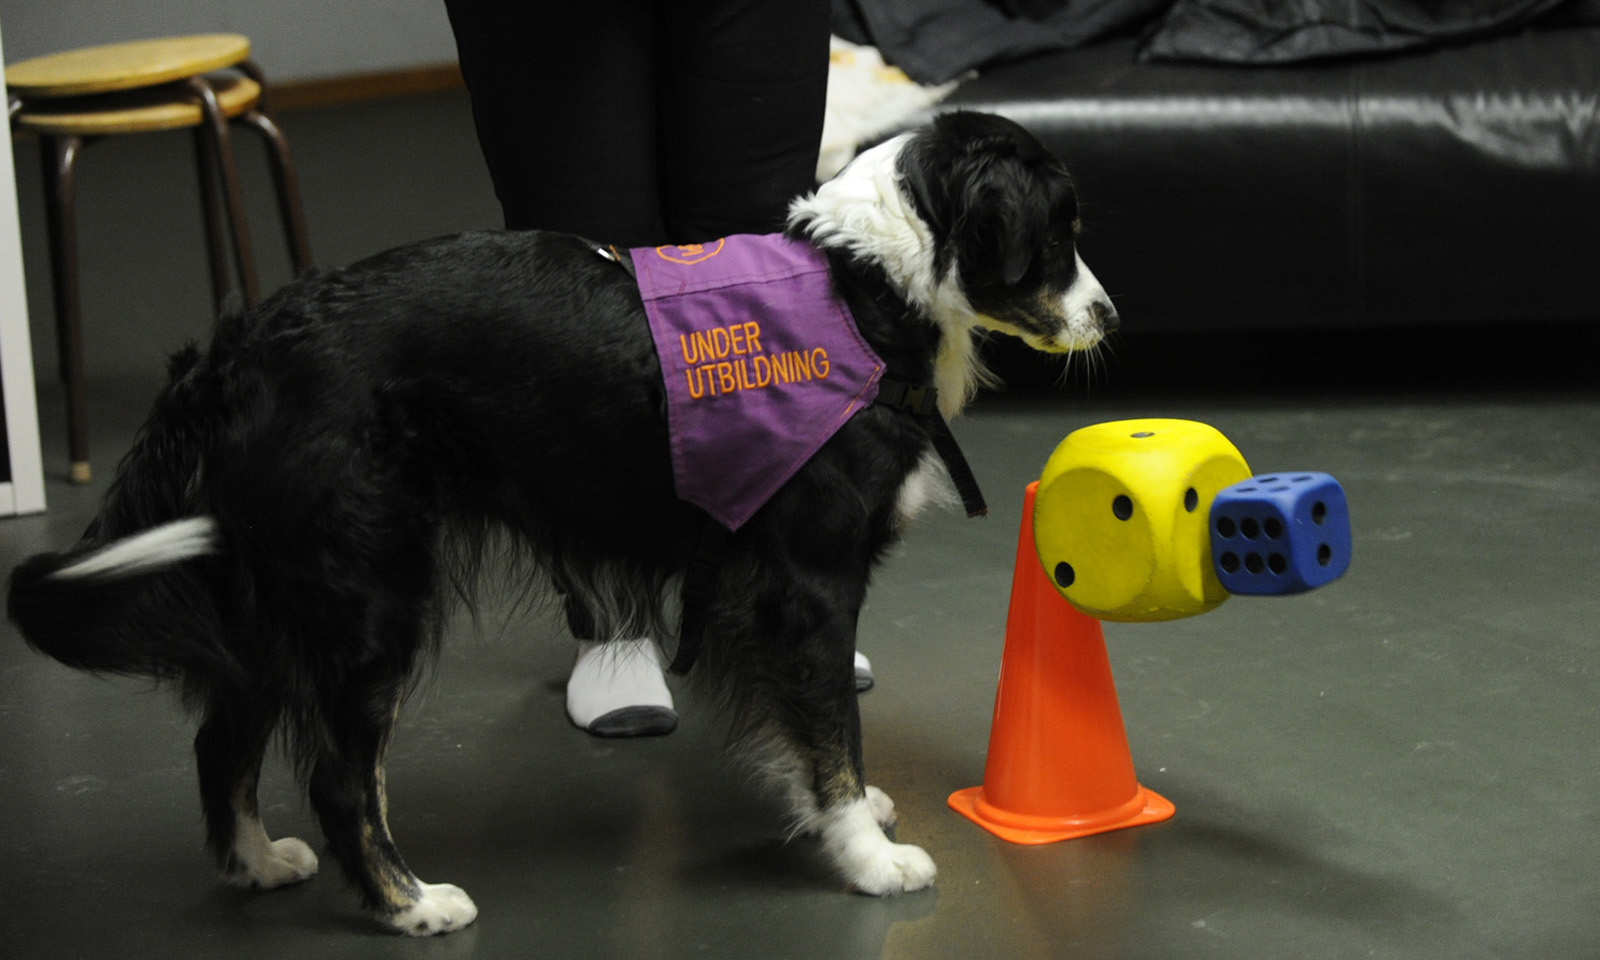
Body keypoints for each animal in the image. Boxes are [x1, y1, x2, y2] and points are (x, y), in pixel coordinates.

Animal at [7, 111, 1117, 935]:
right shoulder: (806, 582)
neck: (865, 285)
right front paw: (868, 857)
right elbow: (830, 725)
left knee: (224, 737)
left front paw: (837, 818)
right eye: (1058, 233)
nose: (1108, 315)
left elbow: (812, 725)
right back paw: (409, 905)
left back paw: (255, 861)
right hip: (370, 596)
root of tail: (235, 347)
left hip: (280, 594)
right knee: (338, 780)